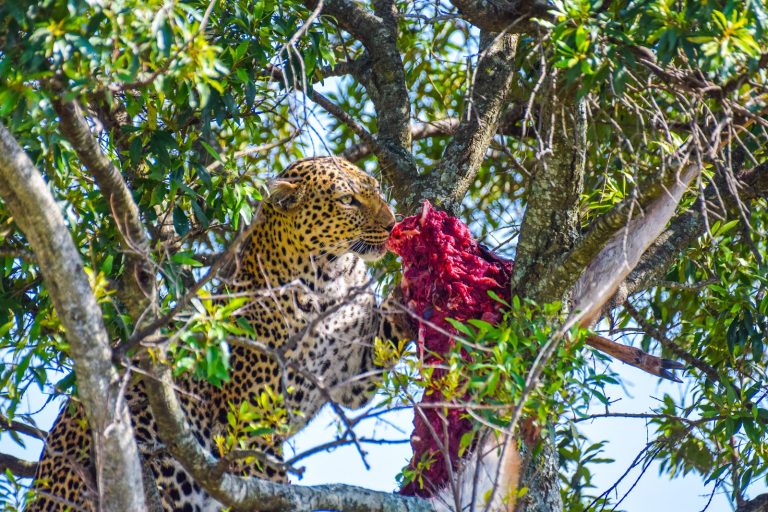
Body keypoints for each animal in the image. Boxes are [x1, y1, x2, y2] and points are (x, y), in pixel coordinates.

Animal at [27, 156, 412, 511]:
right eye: (349, 201)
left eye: (375, 189)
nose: (392, 224)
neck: (332, 278)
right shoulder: (255, 420)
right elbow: (270, 481)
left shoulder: (354, 373)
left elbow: (389, 331)